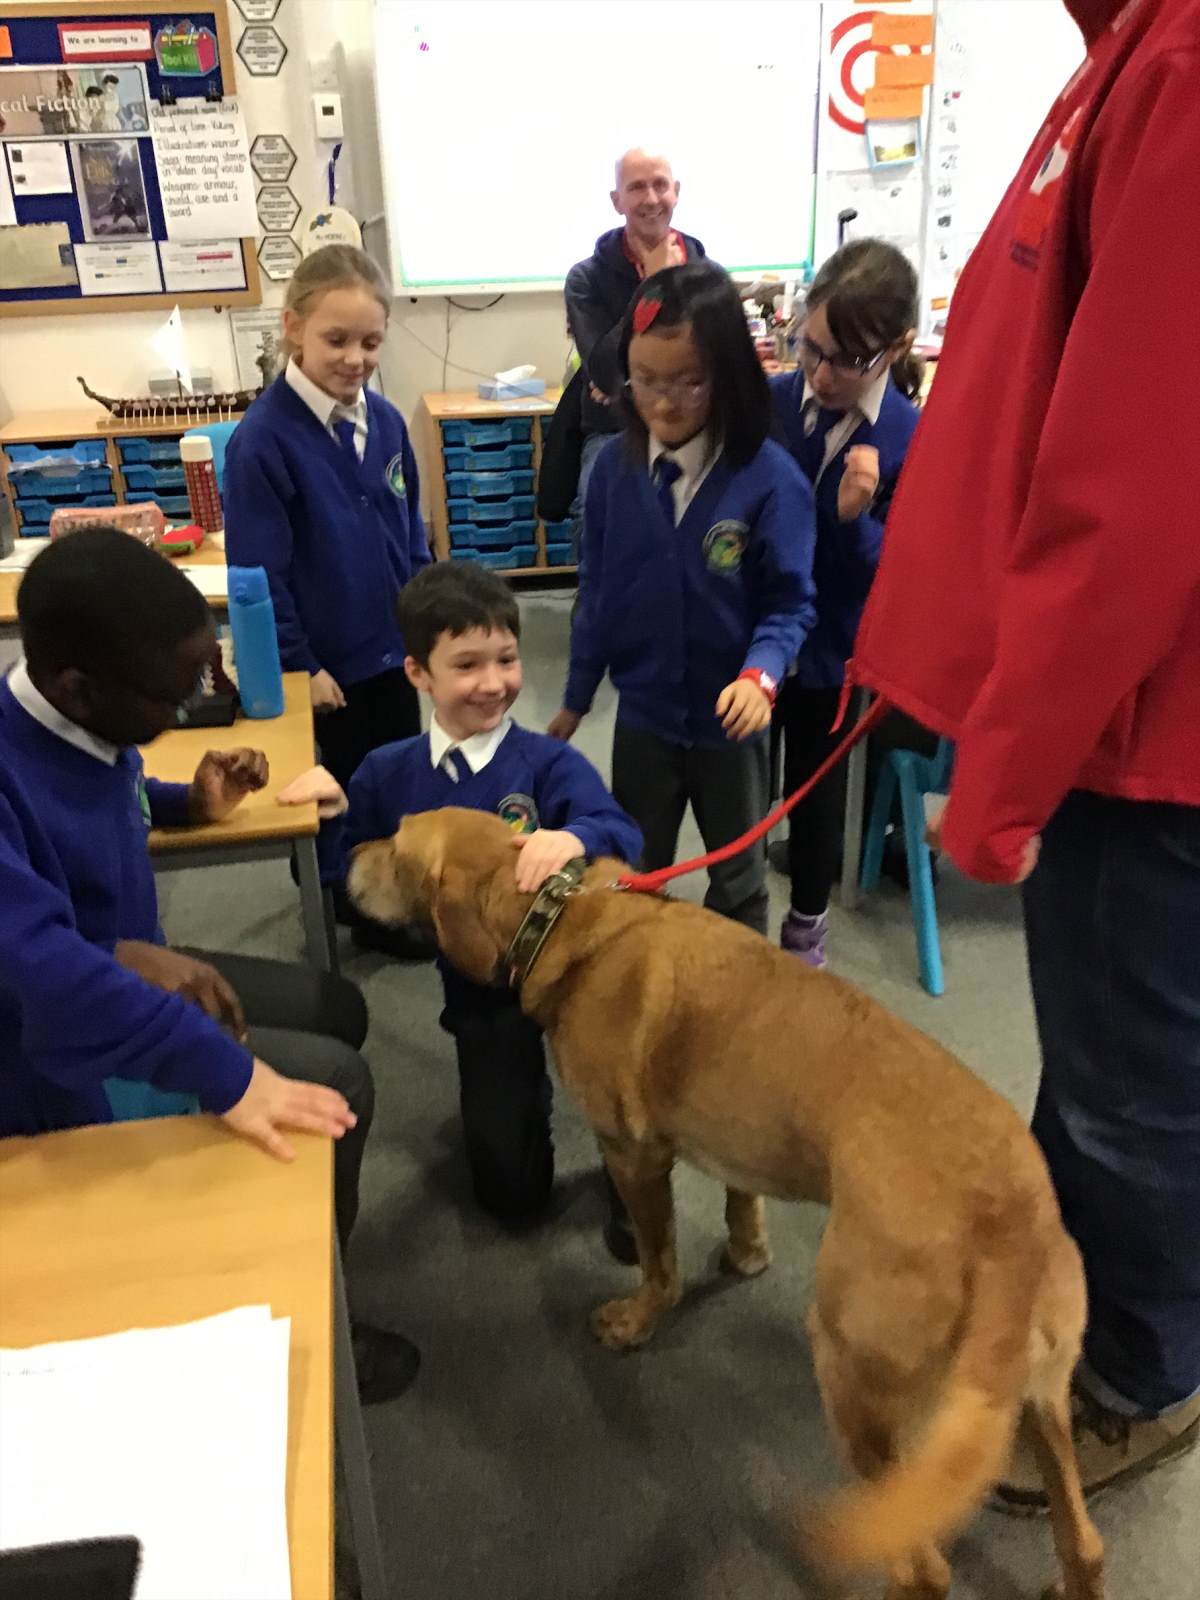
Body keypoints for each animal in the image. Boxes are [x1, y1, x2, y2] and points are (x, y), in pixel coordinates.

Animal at [350, 808, 1105, 1600]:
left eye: (395, 847)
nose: (346, 853)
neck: (558, 914)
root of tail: (1012, 1231)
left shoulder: (634, 1154)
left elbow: (659, 1264)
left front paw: (637, 1321)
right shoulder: (740, 1135)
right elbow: (744, 1203)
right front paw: (746, 1256)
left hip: (851, 1371)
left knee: (922, 1568)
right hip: (1038, 1398)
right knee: (1083, 1542)